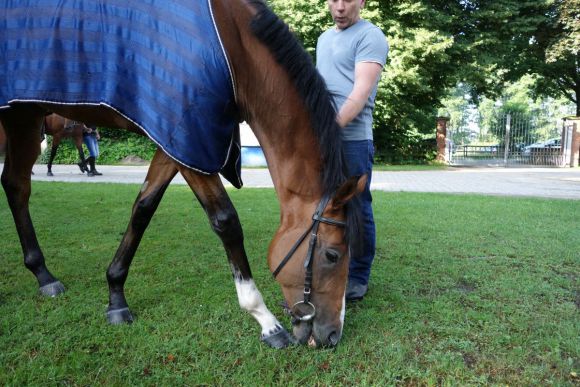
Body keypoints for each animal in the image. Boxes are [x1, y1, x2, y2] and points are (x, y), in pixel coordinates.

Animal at [0, 0, 364, 350]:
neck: (232, 46)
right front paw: (265, 320)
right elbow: (226, 221)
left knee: (16, 184)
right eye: (332, 255)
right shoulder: (189, 135)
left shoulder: (174, 137)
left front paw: (116, 295)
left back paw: (43, 274)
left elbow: (143, 208)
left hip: (23, 117)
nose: (333, 335)